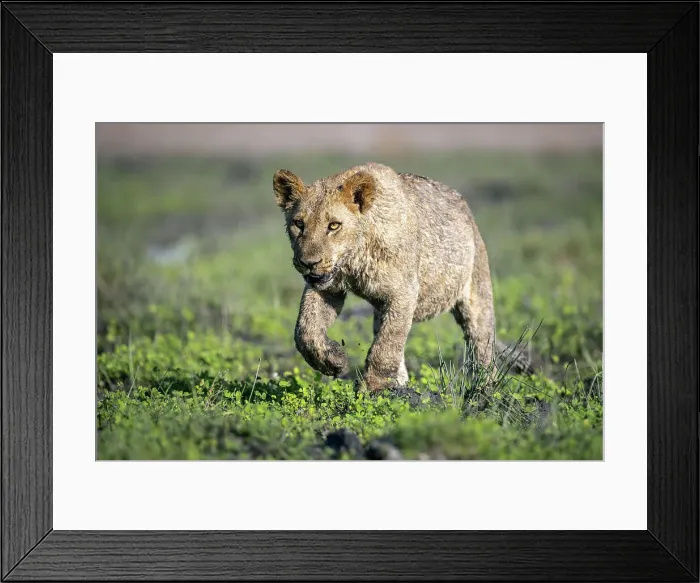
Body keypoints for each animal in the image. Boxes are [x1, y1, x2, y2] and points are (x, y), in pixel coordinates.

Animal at [273, 162, 497, 392]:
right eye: (299, 224)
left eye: (334, 225)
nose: (308, 263)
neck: (354, 260)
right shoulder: (328, 287)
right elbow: (305, 330)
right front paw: (333, 362)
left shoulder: (404, 292)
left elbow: (387, 344)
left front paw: (371, 388)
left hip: (477, 291)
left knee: (481, 342)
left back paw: (484, 390)